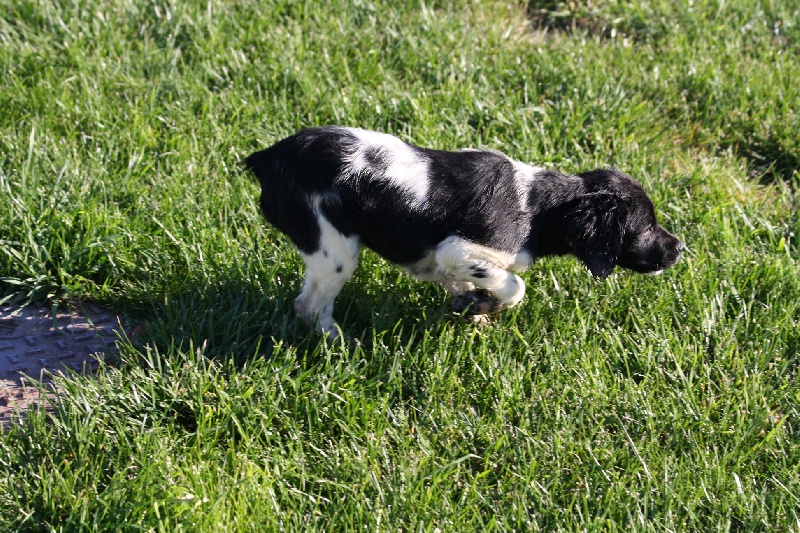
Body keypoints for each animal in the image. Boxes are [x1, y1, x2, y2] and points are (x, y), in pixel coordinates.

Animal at [244, 125, 680, 336]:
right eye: (645, 227)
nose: (679, 248)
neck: (538, 207)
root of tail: (267, 158)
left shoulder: (434, 260)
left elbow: (462, 283)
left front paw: (475, 306)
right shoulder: (459, 249)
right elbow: (515, 285)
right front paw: (487, 305)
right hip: (333, 248)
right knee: (309, 305)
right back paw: (338, 344)